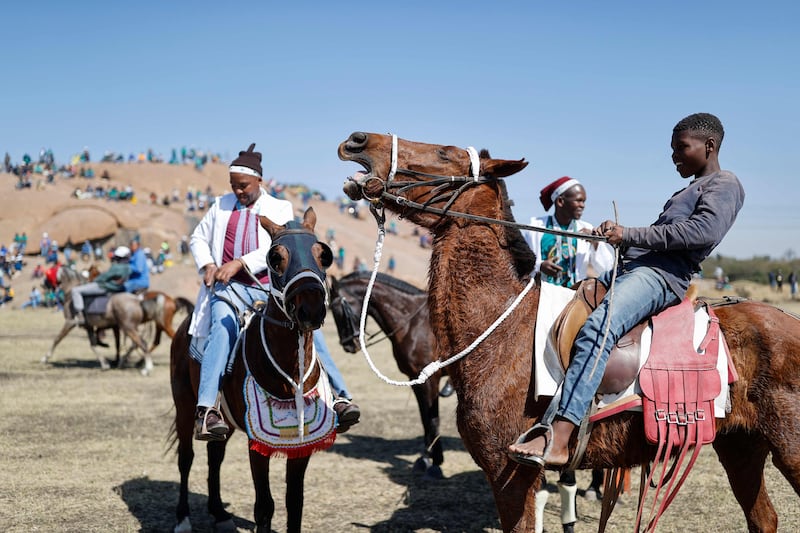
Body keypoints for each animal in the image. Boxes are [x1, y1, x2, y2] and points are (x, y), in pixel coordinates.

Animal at [42, 262, 194, 374]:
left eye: (48, 274)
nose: (42, 285)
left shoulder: (70, 322)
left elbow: (57, 339)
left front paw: (45, 357)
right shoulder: (91, 327)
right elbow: (94, 345)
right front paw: (105, 363)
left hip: (138, 326)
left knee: (145, 343)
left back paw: (146, 367)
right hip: (143, 326)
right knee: (148, 342)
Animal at [169, 208, 332, 532]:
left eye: (323, 255)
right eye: (276, 257)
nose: (310, 308)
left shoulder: (302, 444)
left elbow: (295, 502)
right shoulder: (258, 444)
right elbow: (265, 506)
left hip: (225, 420)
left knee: (214, 456)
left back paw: (219, 513)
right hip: (184, 403)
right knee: (186, 458)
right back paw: (183, 518)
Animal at [328, 270, 446, 478]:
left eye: (342, 309)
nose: (349, 345)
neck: (414, 324)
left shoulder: (431, 381)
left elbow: (433, 419)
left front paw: (436, 462)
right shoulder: (416, 380)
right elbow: (425, 419)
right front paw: (424, 458)